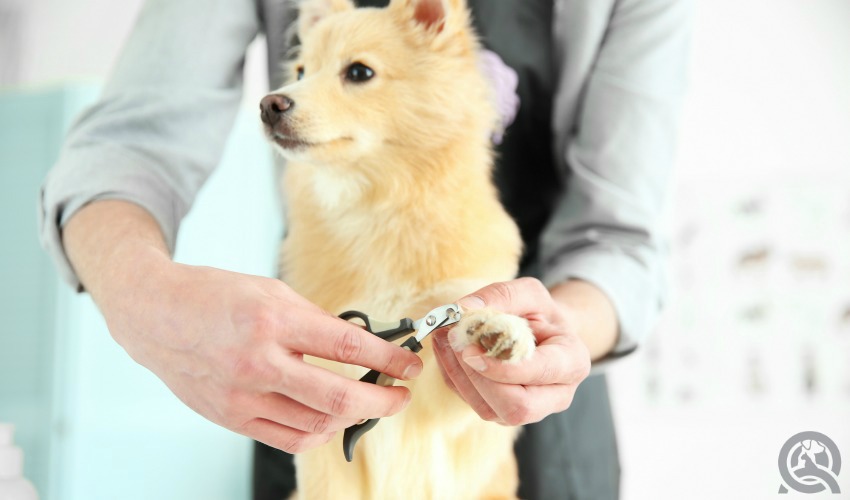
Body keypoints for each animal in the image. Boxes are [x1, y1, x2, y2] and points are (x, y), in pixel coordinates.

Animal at [262, 0, 532, 494]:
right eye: (301, 70)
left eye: (359, 72)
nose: (269, 103)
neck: (375, 207)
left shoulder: (450, 414)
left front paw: (500, 329)